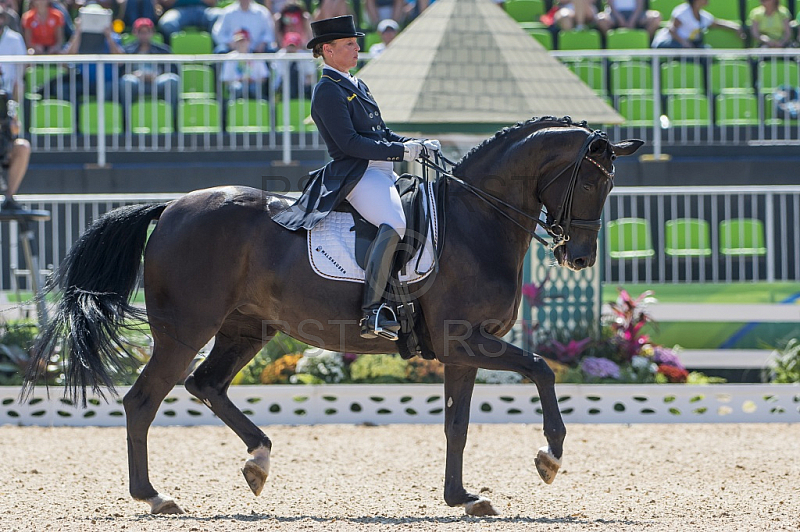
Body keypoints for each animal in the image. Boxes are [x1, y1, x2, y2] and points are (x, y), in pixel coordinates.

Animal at [23, 115, 644, 516]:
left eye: (611, 183)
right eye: (590, 181)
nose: (579, 257)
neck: (477, 220)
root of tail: (172, 207)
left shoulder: (460, 351)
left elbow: (457, 424)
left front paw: (462, 498)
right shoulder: (465, 341)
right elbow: (542, 368)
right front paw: (549, 457)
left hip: (247, 329)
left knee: (206, 385)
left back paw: (258, 461)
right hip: (185, 331)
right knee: (144, 400)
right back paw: (154, 495)